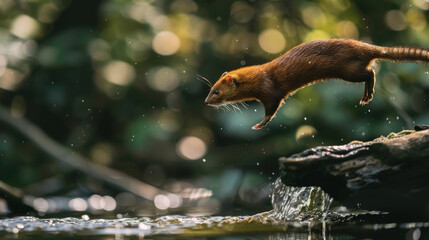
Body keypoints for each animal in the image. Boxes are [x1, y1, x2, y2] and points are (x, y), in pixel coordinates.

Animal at [205, 39, 428, 129]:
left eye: (216, 92)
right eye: (210, 89)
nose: (206, 102)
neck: (260, 73)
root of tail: (363, 45)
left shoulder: (271, 92)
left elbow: (272, 108)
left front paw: (259, 124)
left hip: (349, 70)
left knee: (370, 73)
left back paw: (368, 95)